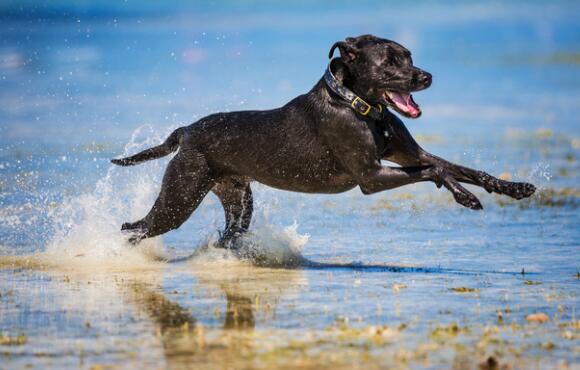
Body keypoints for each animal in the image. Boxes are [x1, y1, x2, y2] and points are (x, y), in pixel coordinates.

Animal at [111, 34, 536, 246]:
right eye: (390, 63)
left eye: (409, 56)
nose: (427, 77)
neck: (357, 105)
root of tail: (186, 131)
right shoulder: (370, 177)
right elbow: (435, 171)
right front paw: (466, 198)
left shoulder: (407, 154)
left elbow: (458, 167)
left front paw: (514, 187)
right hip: (180, 196)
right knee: (136, 228)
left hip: (237, 198)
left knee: (229, 231)